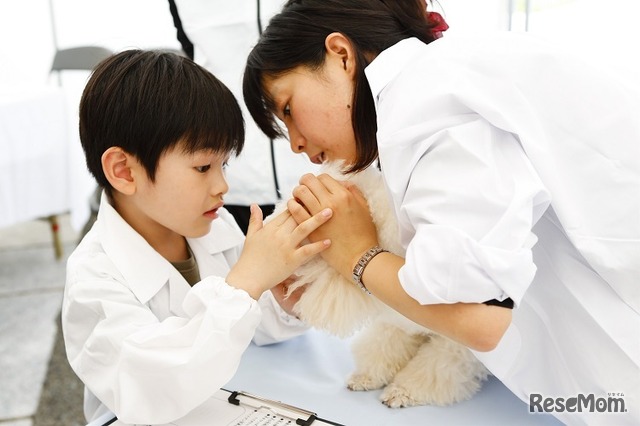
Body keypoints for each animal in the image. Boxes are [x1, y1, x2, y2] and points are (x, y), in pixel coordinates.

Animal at [272, 161, 488, 408]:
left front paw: (402, 391)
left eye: (298, 230)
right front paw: (366, 377)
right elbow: (384, 347)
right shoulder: (396, 323)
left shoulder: (456, 347)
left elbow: (433, 370)